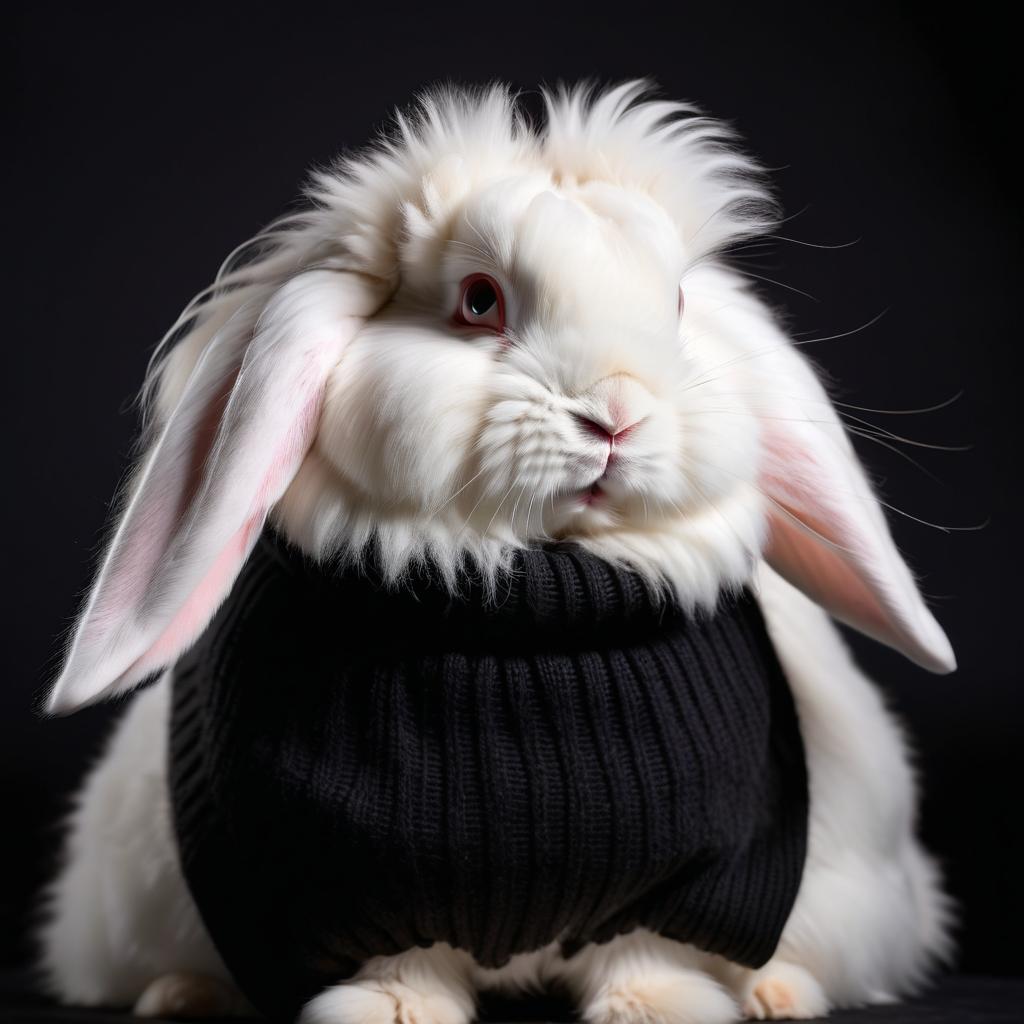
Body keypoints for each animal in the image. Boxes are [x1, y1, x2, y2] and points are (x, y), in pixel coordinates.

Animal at [34, 81, 958, 1024]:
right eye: (480, 301)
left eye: (675, 306)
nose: (617, 414)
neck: (540, 602)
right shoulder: (361, 877)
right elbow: (402, 955)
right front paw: (392, 1012)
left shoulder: (688, 870)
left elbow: (645, 946)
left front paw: (661, 1005)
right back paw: (183, 996)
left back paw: (778, 994)